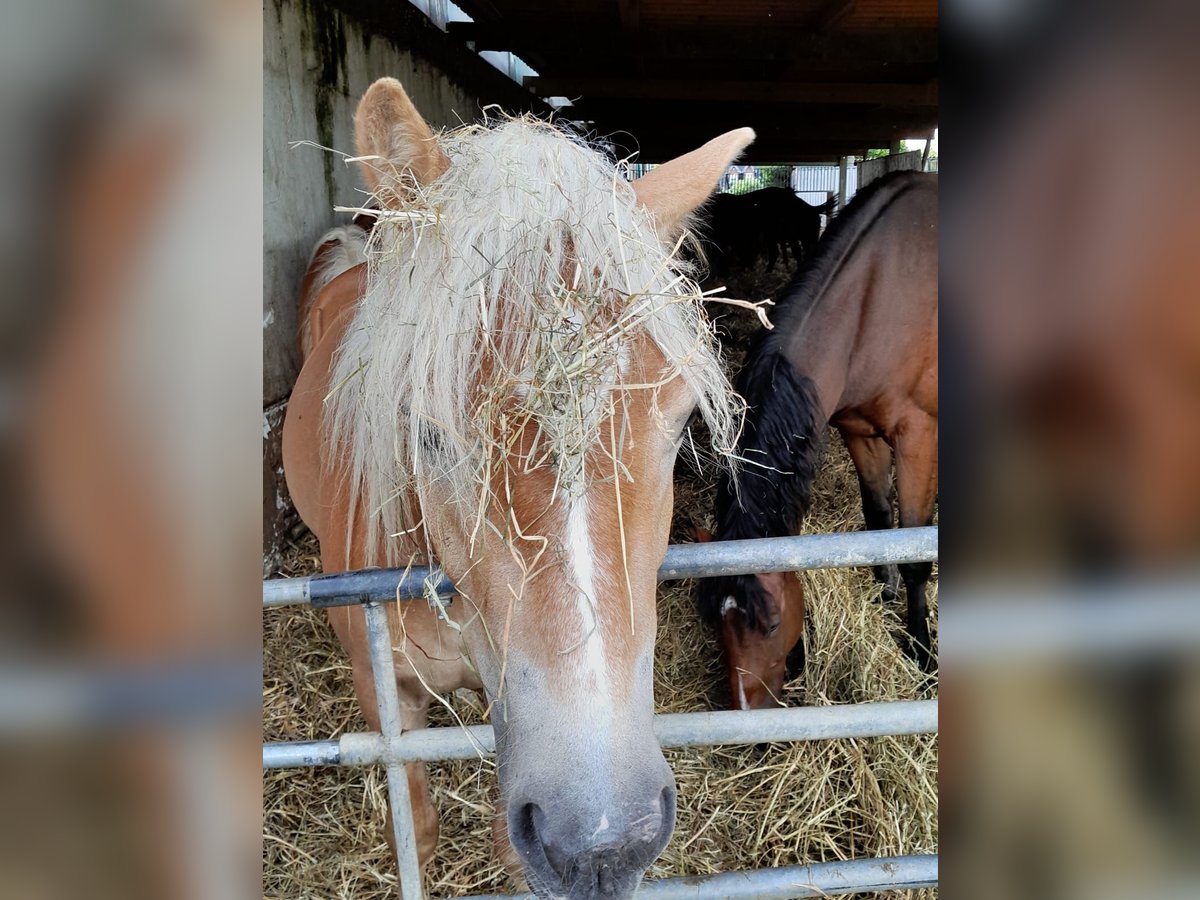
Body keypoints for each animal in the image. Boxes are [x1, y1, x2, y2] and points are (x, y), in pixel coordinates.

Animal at [700, 170, 940, 710]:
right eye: (715, 627)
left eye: (771, 625)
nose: (746, 717)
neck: (878, 299)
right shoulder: (859, 432)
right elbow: (878, 519)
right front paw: (884, 594)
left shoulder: (918, 437)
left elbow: (917, 549)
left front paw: (921, 654)